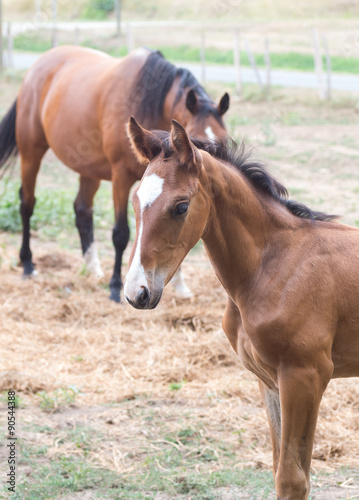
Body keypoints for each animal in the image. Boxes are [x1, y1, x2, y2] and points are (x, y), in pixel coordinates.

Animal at [0, 45, 231, 300]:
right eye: (196, 141)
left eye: (223, 142)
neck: (149, 104)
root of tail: (37, 66)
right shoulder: (121, 178)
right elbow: (121, 234)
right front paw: (115, 287)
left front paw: (180, 286)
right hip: (31, 153)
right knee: (27, 203)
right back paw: (28, 263)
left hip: (88, 169)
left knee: (82, 210)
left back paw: (92, 268)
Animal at [124, 118, 359, 500]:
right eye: (135, 200)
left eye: (180, 206)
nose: (136, 292)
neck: (273, 264)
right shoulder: (271, 381)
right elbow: (281, 470)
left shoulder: (306, 376)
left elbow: (293, 479)